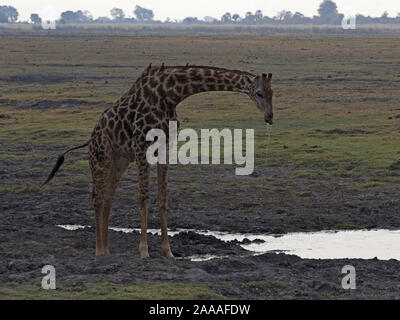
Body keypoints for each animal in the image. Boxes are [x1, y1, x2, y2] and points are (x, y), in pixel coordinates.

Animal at [44, 63, 276, 258]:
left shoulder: (165, 147)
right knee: (97, 198)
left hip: (119, 161)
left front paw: (168, 252)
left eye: (273, 93)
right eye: (259, 93)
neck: (170, 95)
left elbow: (162, 198)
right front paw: (144, 251)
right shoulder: (141, 146)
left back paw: (107, 249)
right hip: (101, 159)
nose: (270, 118)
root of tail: (90, 139)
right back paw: (99, 250)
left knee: (108, 197)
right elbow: (143, 197)